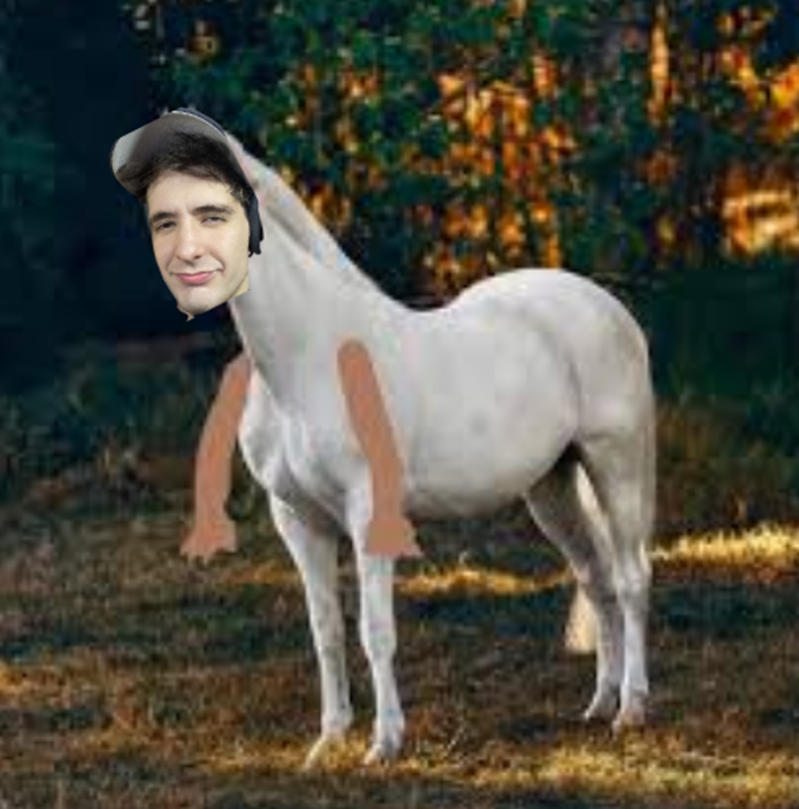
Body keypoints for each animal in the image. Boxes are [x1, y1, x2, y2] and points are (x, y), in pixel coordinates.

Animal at [224, 132, 656, 768]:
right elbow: (326, 631)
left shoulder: (368, 513)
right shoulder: (297, 518)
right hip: (552, 488)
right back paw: (599, 705)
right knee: (596, 579)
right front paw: (328, 742)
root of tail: (607, 306)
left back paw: (631, 710)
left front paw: (384, 744)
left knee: (629, 580)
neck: (306, 356)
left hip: (615, 466)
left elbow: (375, 632)